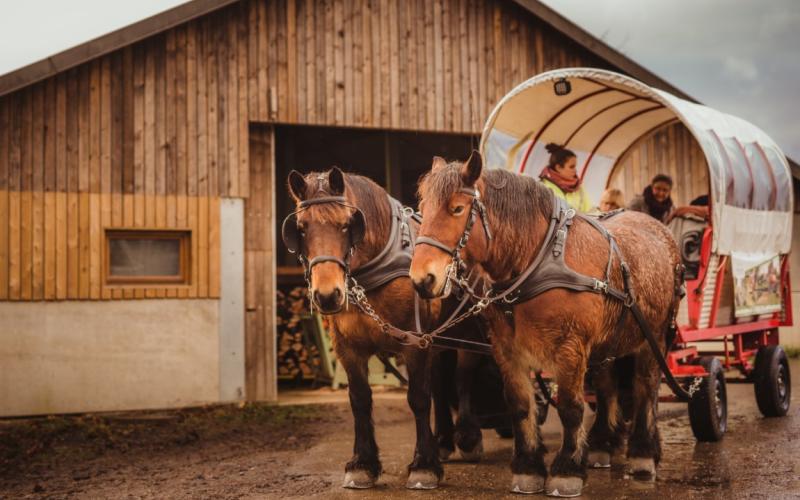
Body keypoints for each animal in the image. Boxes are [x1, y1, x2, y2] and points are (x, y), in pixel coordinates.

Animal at [284, 167, 490, 488]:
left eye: (346, 225)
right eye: (302, 228)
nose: (328, 295)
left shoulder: (414, 342)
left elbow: (419, 398)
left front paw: (424, 465)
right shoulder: (348, 348)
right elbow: (359, 399)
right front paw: (362, 463)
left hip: (464, 332)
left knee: (462, 377)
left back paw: (467, 437)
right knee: (440, 382)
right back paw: (443, 440)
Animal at [412, 155, 680, 496]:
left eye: (457, 208)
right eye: (423, 206)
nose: (422, 279)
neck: (538, 260)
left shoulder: (570, 347)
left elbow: (570, 407)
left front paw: (567, 469)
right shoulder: (506, 349)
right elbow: (519, 404)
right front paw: (528, 467)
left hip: (653, 336)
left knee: (646, 386)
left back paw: (643, 452)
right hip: (608, 342)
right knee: (607, 388)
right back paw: (602, 443)